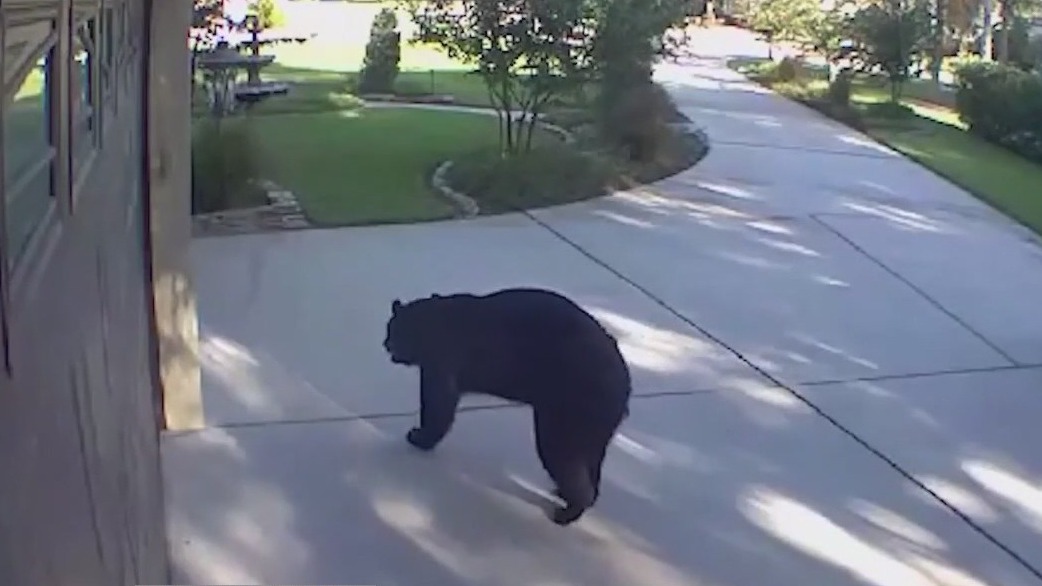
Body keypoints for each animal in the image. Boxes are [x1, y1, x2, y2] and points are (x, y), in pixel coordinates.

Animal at [383, 287, 632, 526]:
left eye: (394, 331)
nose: (386, 344)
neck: (431, 321)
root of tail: (625, 385)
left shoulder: (443, 360)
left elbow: (438, 403)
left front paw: (419, 437)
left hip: (573, 409)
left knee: (562, 455)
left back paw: (567, 512)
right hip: (592, 427)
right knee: (589, 462)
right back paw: (565, 493)